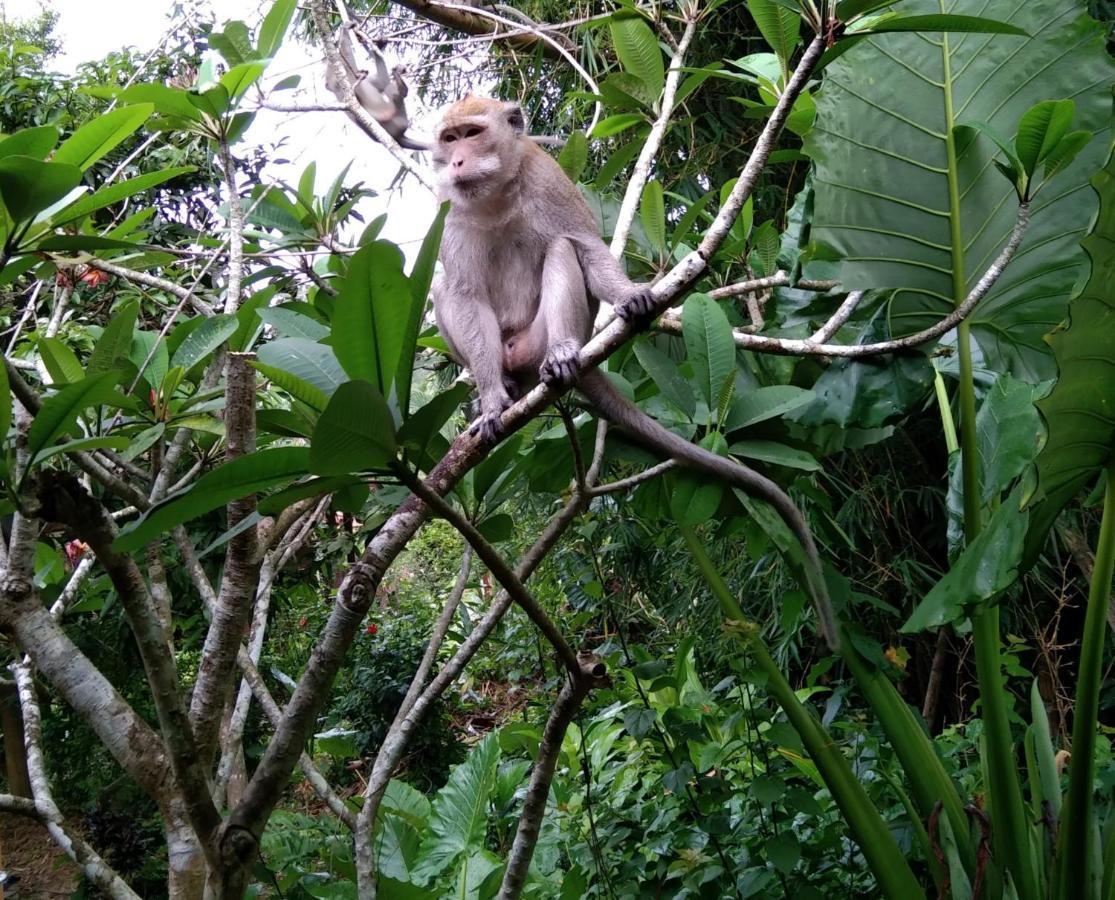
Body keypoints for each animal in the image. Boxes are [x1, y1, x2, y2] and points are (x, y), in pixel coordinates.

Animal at [425, 97, 838, 646]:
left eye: (471, 134)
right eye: (449, 139)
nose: (455, 162)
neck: (495, 196)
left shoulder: (546, 179)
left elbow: (582, 244)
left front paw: (627, 296)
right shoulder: (448, 209)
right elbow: (464, 292)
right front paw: (492, 401)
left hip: (546, 337)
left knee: (561, 249)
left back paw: (561, 355)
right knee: (444, 288)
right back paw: (508, 384)